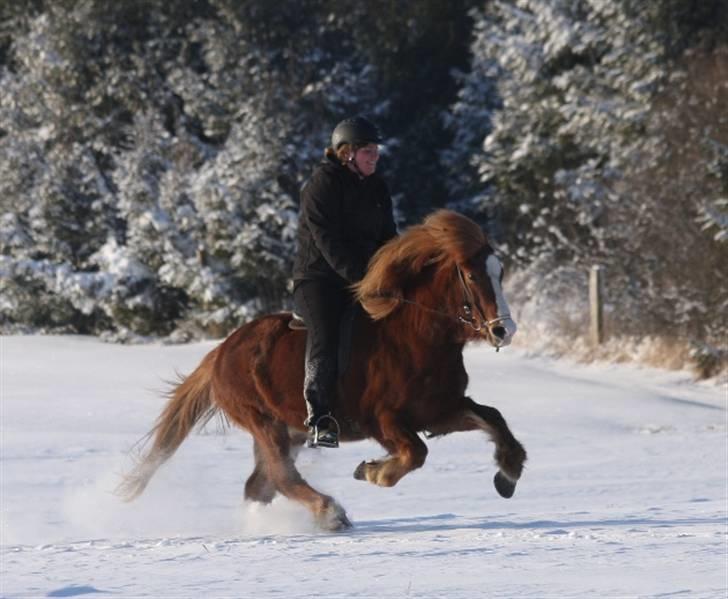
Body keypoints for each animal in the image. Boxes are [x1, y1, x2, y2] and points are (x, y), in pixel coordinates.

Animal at [121, 210, 528, 528]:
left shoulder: (439, 411)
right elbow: (416, 453)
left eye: (500, 272)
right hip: (263, 422)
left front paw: (508, 473)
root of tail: (221, 352)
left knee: (260, 485)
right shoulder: (383, 420)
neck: (415, 338)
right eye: (471, 275)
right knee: (282, 477)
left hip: (289, 429)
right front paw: (372, 471)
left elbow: (493, 419)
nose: (504, 330)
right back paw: (330, 513)